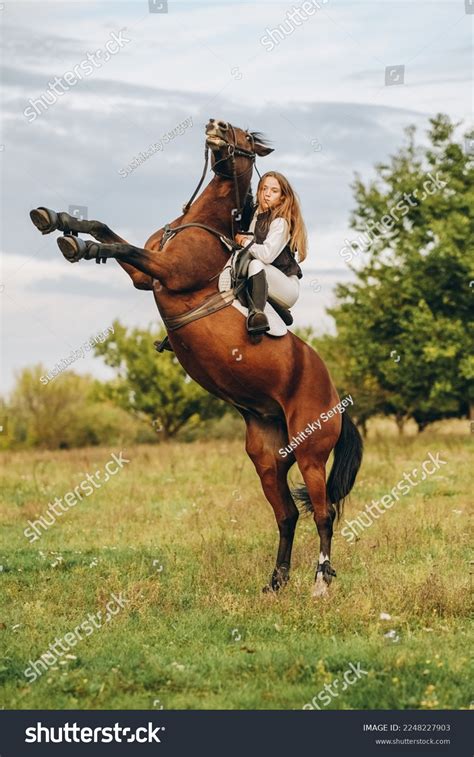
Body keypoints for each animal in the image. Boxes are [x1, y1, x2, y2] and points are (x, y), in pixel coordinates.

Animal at [29, 116, 362, 596]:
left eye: (245, 136)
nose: (215, 124)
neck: (200, 222)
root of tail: (337, 398)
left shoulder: (166, 271)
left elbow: (121, 246)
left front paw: (79, 246)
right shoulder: (143, 276)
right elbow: (106, 229)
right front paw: (59, 221)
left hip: (310, 454)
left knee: (323, 513)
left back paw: (320, 583)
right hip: (268, 457)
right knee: (286, 514)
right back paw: (275, 583)